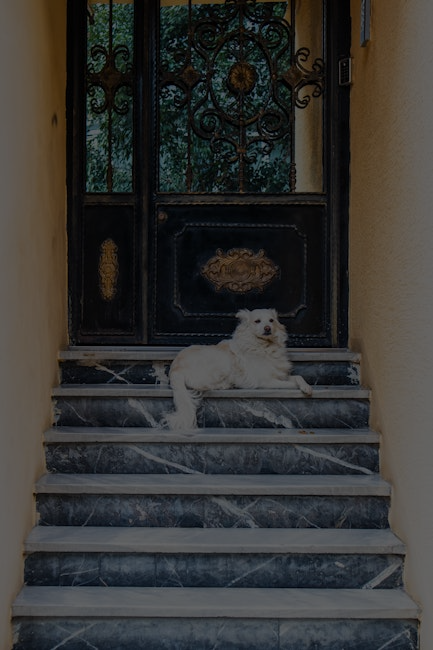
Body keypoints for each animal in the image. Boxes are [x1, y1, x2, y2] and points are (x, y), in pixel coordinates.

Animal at [165, 308, 312, 430]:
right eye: (257, 321)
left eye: (271, 320)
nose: (267, 328)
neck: (264, 346)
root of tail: (175, 368)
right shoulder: (266, 382)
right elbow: (292, 384)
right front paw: (304, 388)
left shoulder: (280, 375)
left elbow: (298, 377)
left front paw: (307, 386)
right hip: (222, 363)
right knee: (200, 384)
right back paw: (225, 385)